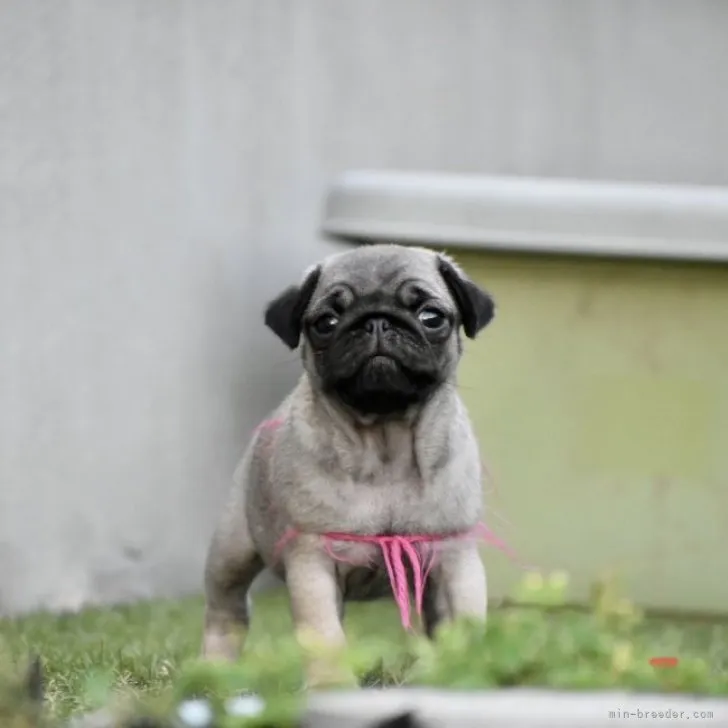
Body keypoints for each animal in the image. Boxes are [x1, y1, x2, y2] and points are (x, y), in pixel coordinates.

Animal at [200, 245, 494, 676]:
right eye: (327, 322)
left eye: (431, 317)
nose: (376, 322)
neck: (386, 444)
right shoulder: (313, 561)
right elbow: (324, 637)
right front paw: (330, 684)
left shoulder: (454, 558)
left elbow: (465, 625)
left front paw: (468, 670)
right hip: (231, 550)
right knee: (227, 610)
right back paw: (214, 670)